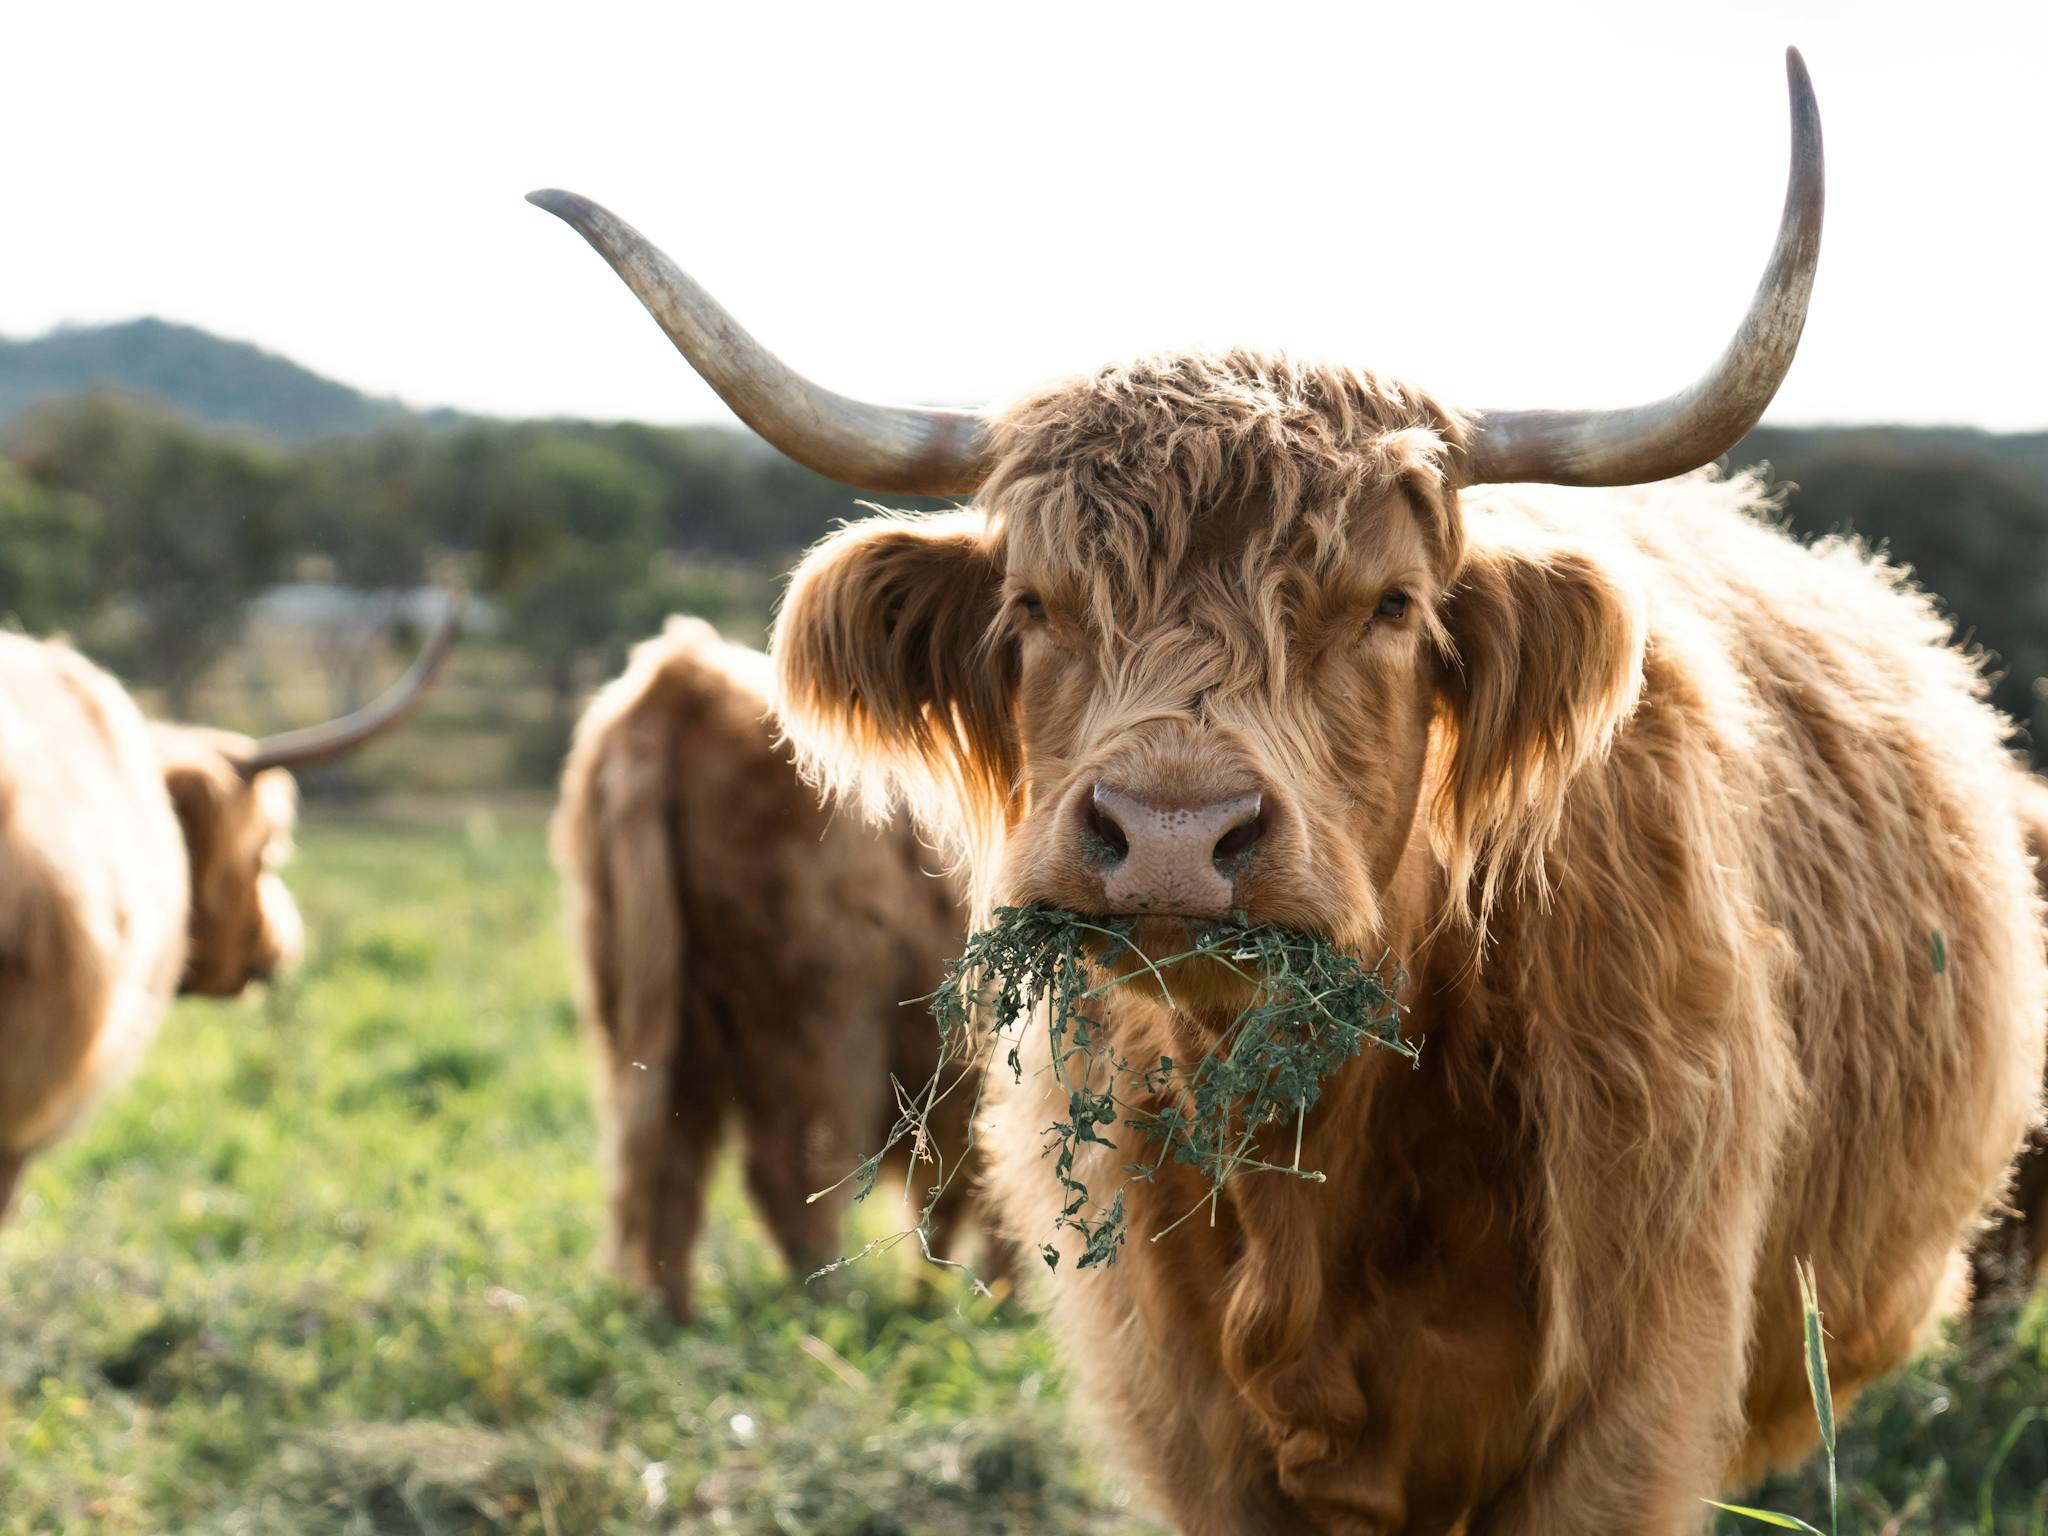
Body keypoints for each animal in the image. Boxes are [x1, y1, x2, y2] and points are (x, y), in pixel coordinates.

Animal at [553, 616, 992, 1323]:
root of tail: (685, 677)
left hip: (656, 1018)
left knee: (667, 1162)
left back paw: (673, 1316)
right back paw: (828, 1308)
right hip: (818, 1023)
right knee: (796, 1168)